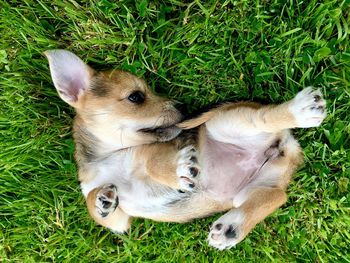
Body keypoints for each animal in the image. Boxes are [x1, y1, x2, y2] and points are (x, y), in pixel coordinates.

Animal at [45, 50, 326, 252]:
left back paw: (300, 110)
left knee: (263, 118)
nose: (184, 106)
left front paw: (179, 172)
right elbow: (98, 210)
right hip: (250, 189)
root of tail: (287, 142)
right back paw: (231, 229)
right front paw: (102, 198)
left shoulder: (164, 148)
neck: (107, 157)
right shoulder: (119, 220)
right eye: (136, 97)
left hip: (223, 124)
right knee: (276, 196)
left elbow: (153, 162)